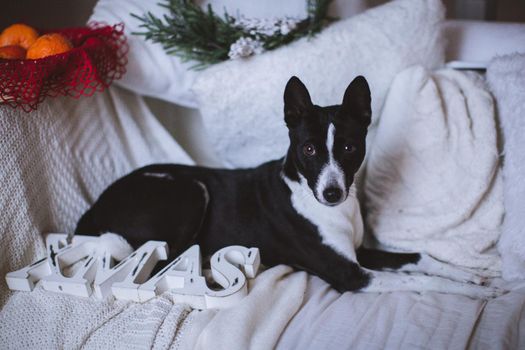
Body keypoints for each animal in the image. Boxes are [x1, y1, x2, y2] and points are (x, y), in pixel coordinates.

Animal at [75, 76, 498, 298]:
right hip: (190, 191)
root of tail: (94, 209)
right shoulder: (351, 275)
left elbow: (419, 258)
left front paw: (470, 276)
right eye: (308, 149)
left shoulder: (360, 252)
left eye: (349, 147)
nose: (332, 193)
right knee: (159, 263)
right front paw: (477, 294)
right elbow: (421, 282)